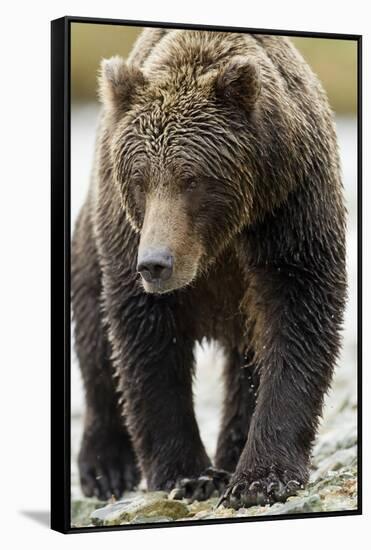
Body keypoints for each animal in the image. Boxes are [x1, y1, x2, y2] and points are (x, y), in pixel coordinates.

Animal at [71, 28, 348, 512]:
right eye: (139, 179)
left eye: (191, 178)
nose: (155, 263)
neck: (221, 239)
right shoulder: (127, 238)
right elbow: (148, 344)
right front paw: (189, 475)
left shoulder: (290, 209)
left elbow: (298, 319)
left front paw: (262, 477)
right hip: (90, 243)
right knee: (97, 345)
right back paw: (107, 468)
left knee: (247, 365)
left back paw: (232, 453)